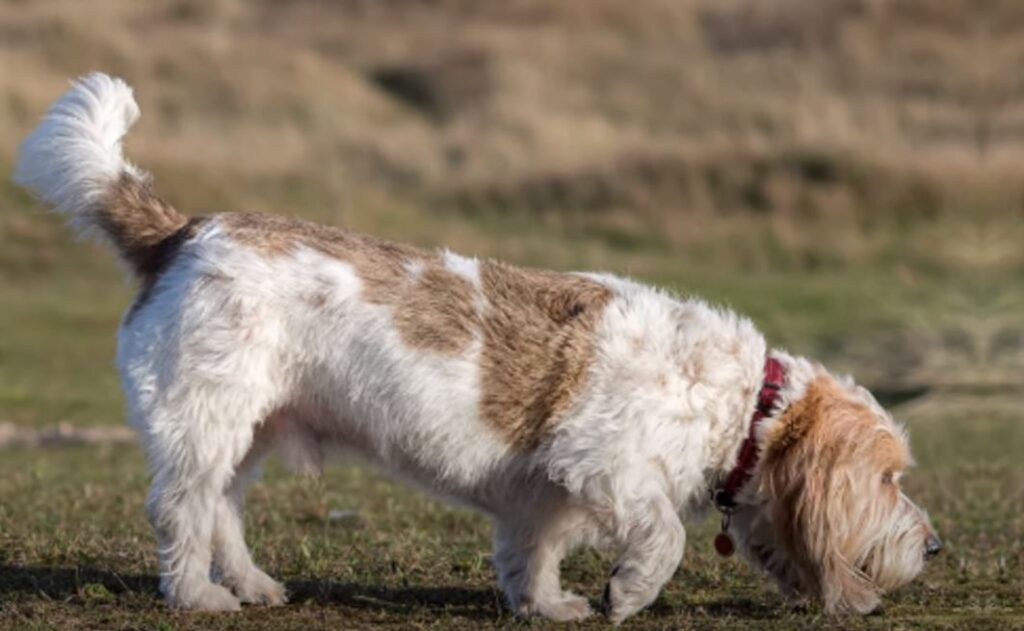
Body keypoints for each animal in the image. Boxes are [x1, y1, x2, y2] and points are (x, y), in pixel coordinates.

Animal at [14, 73, 942, 622]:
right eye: (888, 478)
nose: (935, 547)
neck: (745, 404)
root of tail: (182, 230)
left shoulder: (548, 492)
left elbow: (533, 551)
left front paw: (549, 604)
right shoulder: (611, 464)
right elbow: (661, 536)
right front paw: (627, 592)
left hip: (247, 431)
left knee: (222, 511)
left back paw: (249, 582)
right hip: (204, 424)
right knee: (182, 509)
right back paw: (199, 595)